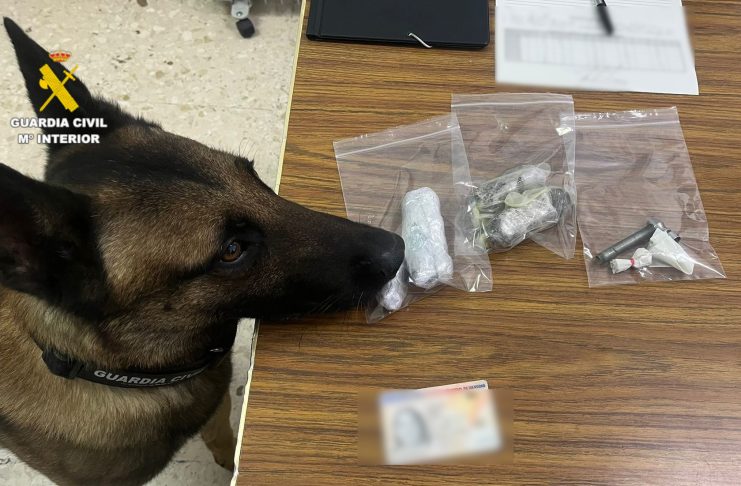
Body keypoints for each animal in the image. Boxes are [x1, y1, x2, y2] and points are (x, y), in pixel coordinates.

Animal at [0, 18, 404, 486]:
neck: (120, 373)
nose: (398, 249)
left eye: (253, 176)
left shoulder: (214, 408)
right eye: (231, 250)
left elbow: (222, 436)